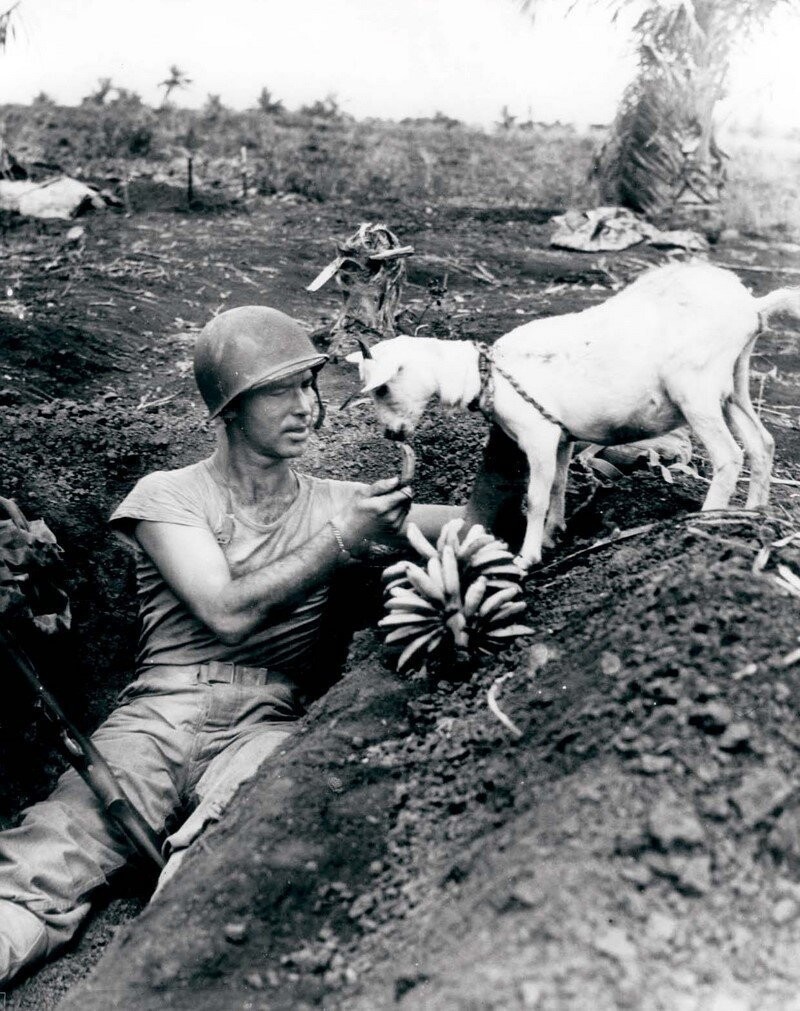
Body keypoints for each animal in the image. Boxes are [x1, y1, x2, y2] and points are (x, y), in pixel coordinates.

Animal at [347, 260, 800, 570]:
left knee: (729, 455)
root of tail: (752, 306)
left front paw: (527, 556)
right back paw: (750, 515)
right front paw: (553, 535)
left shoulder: (538, 435)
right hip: (733, 385)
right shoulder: (562, 438)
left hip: (697, 389)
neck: (485, 374)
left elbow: (534, 497)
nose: (391, 435)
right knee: (762, 444)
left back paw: (707, 521)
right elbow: (557, 487)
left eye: (382, 387)